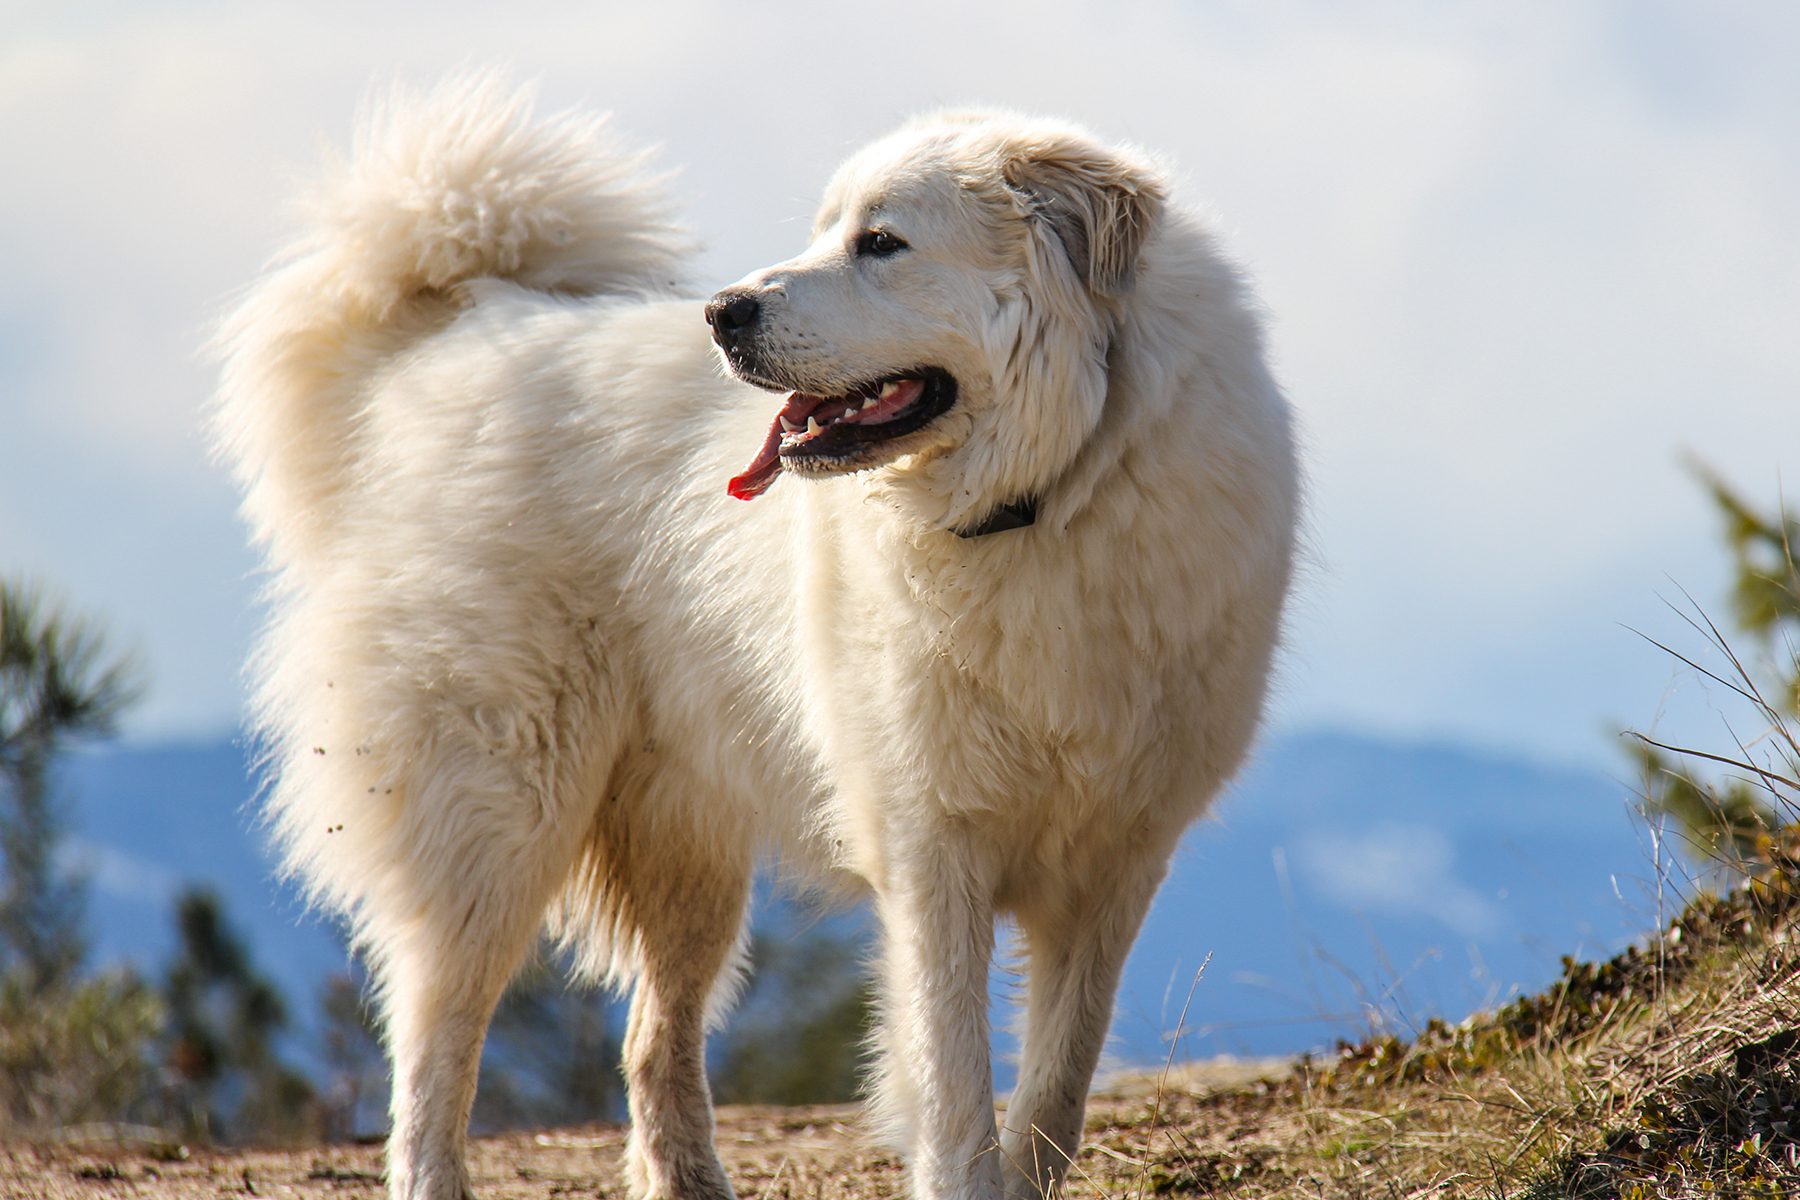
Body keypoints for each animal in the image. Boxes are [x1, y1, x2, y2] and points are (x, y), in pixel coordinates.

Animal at [210, 77, 1303, 1200]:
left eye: (881, 242)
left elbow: (1055, 1089)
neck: (1046, 497)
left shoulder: (1116, 860)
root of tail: (460, 334)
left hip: (688, 852)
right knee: (436, 1043)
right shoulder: (931, 846)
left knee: (651, 1037)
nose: (722, 312)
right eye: (826, 230)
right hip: (498, 813)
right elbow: (953, 1080)